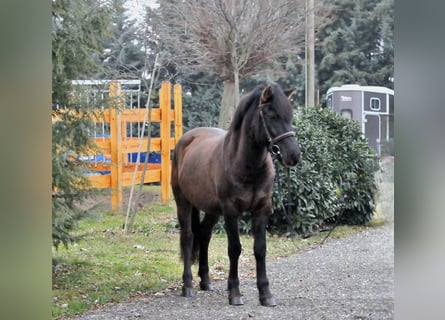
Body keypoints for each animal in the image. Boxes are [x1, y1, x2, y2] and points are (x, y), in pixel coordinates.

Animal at [172, 85, 300, 308]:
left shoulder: (262, 210)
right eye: (272, 115)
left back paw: (205, 281)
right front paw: (234, 293)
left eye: (290, 115)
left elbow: (260, 249)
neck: (246, 164)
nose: (294, 156)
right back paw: (187, 286)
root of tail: (186, 140)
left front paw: (265, 294)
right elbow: (234, 249)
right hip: (183, 203)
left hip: (212, 210)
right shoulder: (232, 211)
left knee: (204, 234)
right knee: (188, 237)